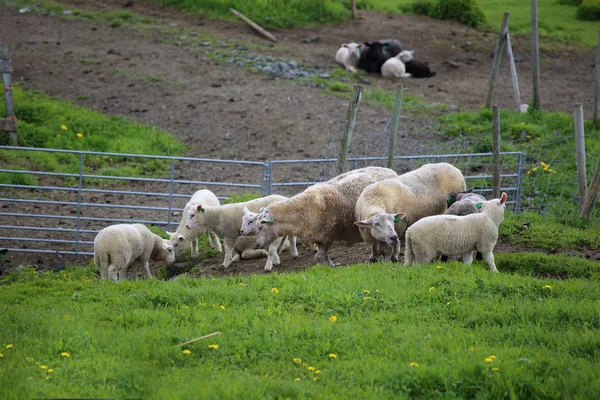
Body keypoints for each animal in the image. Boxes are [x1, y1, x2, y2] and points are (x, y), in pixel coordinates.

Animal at [254, 167, 398, 268]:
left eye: (260, 227)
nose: (258, 244)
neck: (302, 209)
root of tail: (390, 170)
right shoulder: (320, 236)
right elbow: (324, 255)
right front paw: (330, 266)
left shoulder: (328, 235)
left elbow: (319, 256)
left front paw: (320, 269)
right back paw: (375, 257)